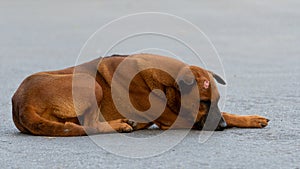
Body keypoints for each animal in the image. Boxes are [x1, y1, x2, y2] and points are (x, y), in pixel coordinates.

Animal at [11, 53, 270, 136]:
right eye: (203, 102)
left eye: (215, 100)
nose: (223, 127)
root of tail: (20, 104)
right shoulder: (173, 119)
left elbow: (229, 112)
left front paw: (250, 119)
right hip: (88, 82)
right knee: (91, 126)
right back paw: (121, 124)